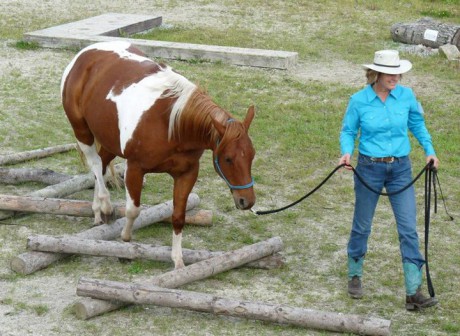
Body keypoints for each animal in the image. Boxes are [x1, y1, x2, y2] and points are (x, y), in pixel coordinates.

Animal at [59, 40, 256, 270]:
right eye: (228, 159)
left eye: (251, 155)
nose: (247, 201)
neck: (172, 124)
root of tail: (84, 54)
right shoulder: (135, 168)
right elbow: (133, 210)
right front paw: (125, 241)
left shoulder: (187, 173)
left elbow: (178, 216)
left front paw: (178, 261)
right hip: (82, 132)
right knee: (96, 165)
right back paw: (105, 206)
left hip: (109, 139)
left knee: (101, 165)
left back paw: (98, 211)